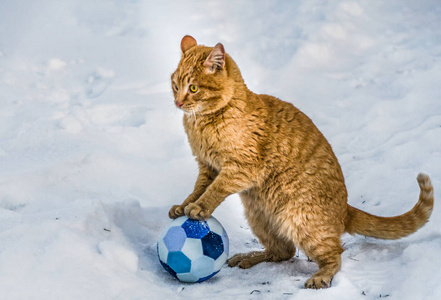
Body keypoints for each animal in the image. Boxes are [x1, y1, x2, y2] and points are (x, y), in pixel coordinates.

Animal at [168, 35, 434, 288]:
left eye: (193, 88)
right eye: (175, 85)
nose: (178, 102)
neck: (202, 124)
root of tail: (345, 209)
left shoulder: (240, 168)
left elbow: (214, 190)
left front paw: (199, 208)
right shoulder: (208, 166)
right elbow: (198, 189)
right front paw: (184, 205)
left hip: (301, 221)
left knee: (333, 255)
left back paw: (320, 277)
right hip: (259, 217)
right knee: (283, 251)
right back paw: (249, 257)